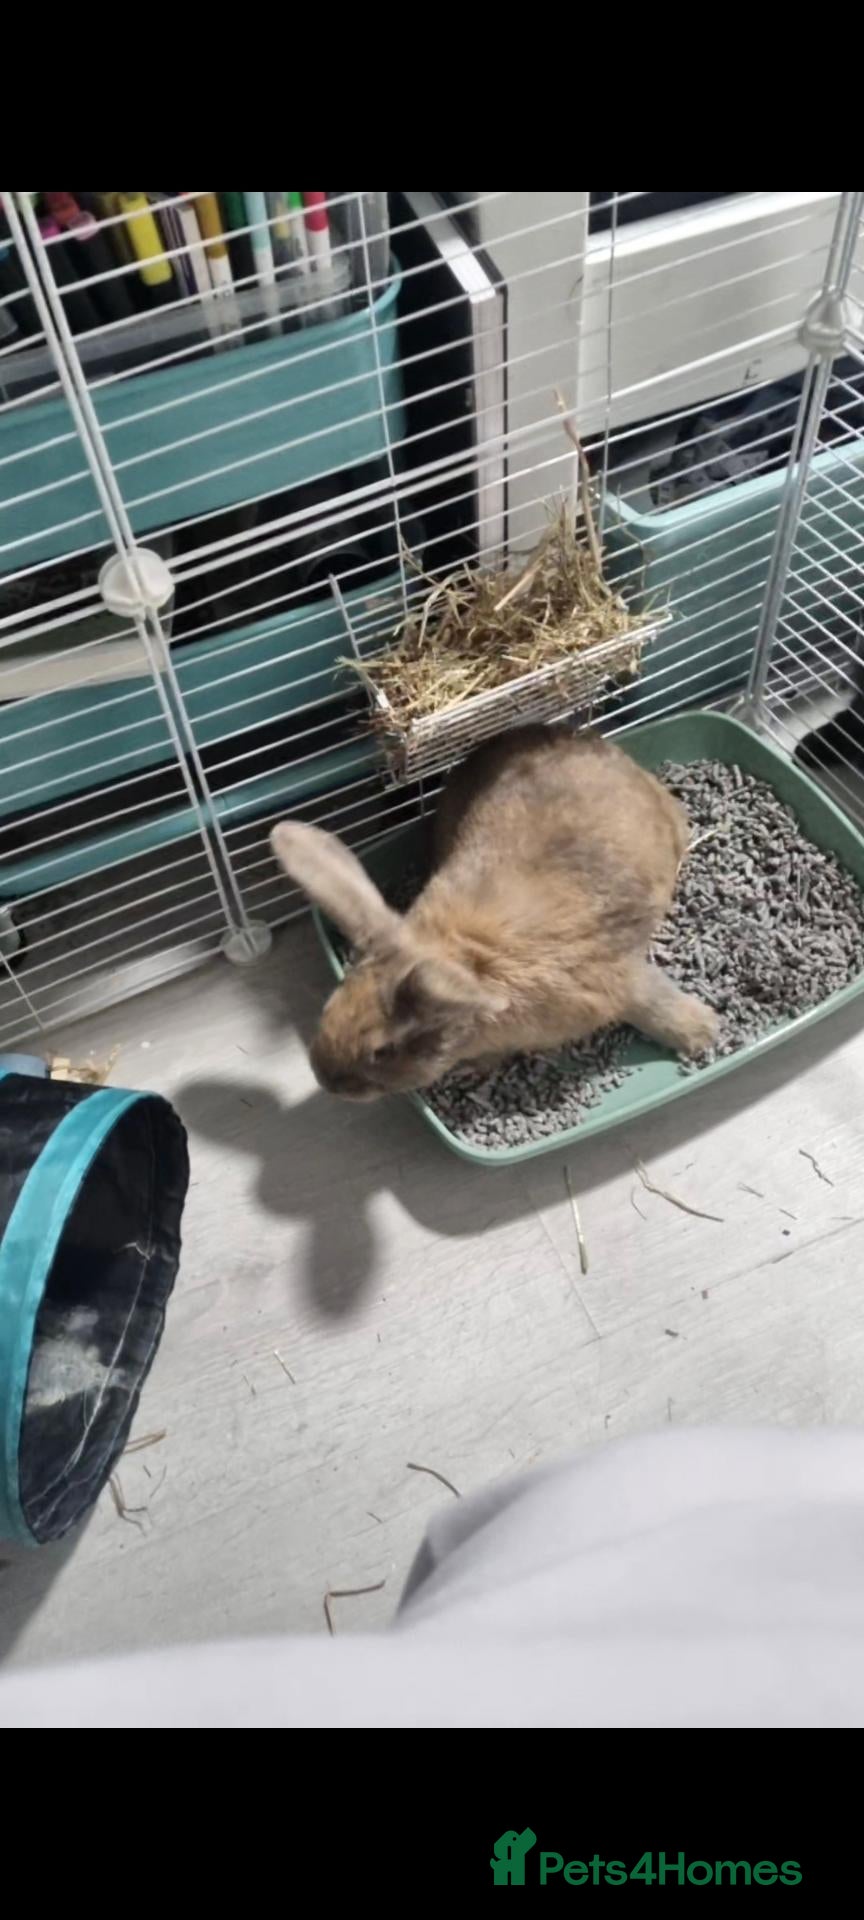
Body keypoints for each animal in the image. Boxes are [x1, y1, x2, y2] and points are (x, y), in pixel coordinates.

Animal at [270, 724, 718, 1099]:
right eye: (331, 1004)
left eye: (382, 1050)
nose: (324, 1079)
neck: (468, 955)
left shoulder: (617, 979)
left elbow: (652, 1003)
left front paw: (703, 1032)